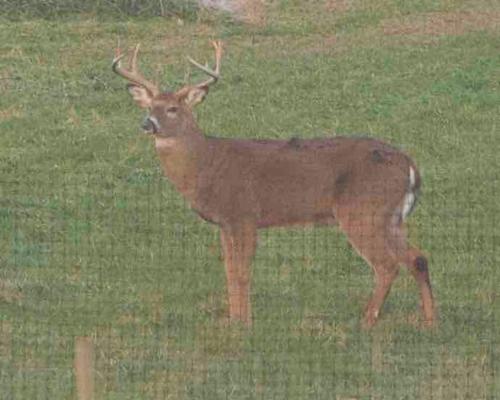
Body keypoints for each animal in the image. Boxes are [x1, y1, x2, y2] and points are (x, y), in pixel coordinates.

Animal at [111, 39, 436, 328]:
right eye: (149, 106)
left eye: (173, 109)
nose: (147, 124)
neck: (206, 164)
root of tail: (409, 164)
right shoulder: (225, 223)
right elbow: (229, 271)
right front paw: (233, 321)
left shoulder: (243, 214)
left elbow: (242, 272)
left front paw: (245, 324)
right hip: (391, 218)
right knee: (417, 258)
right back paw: (430, 322)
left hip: (362, 211)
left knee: (387, 265)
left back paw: (366, 322)